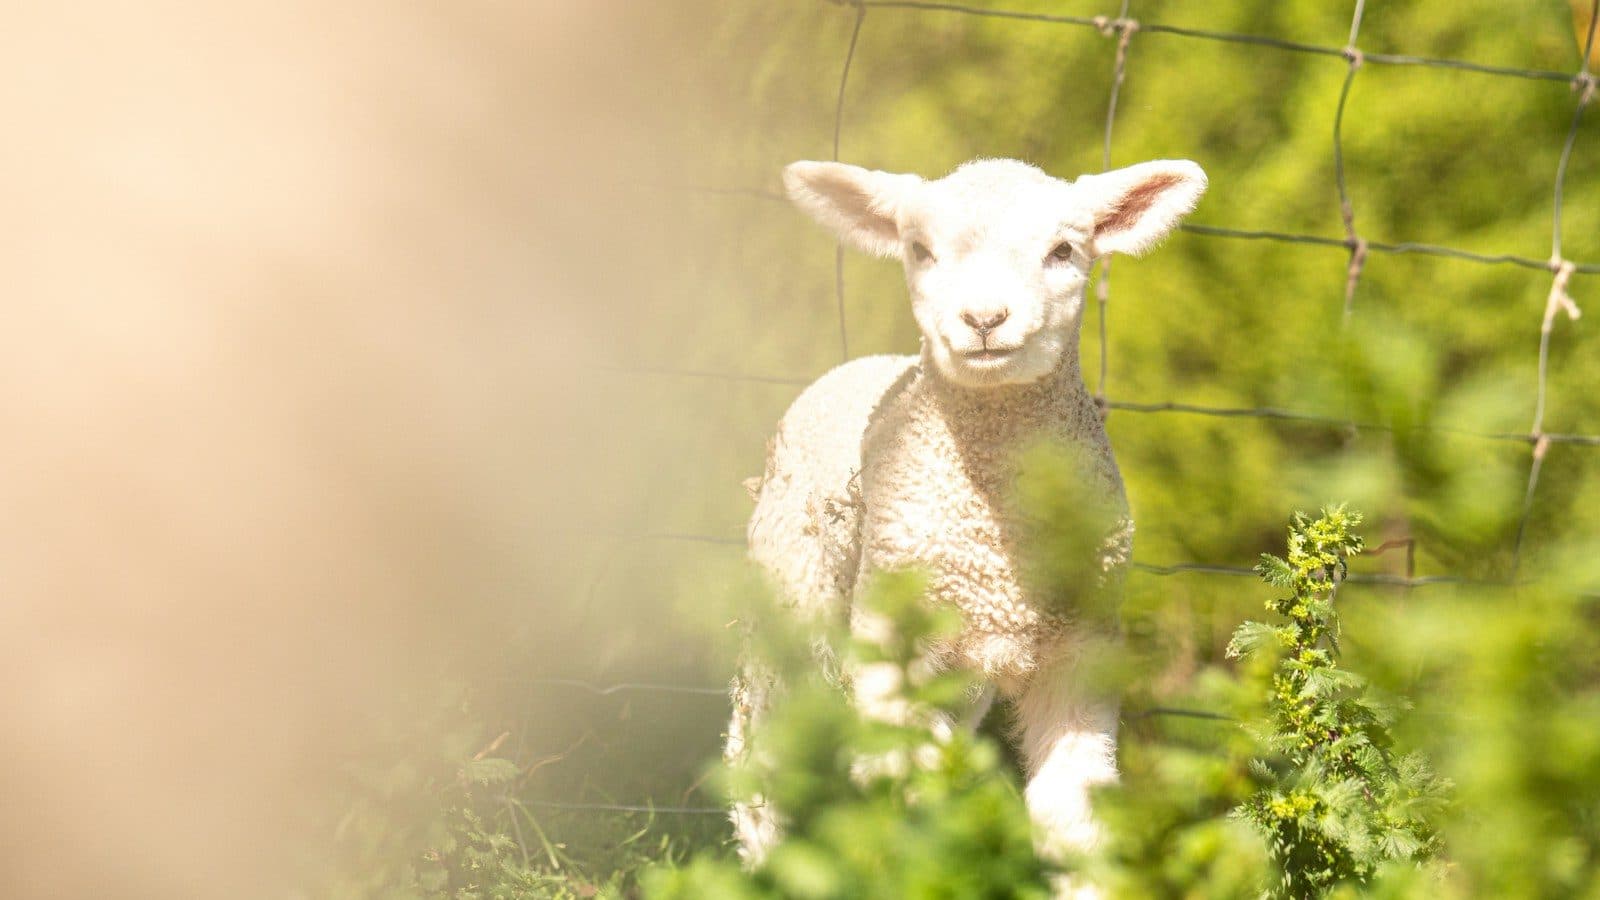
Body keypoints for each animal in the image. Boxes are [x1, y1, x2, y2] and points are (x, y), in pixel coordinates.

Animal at [729, 156, 1207, 883]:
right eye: (920, 251)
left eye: (1063, 250)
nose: (984, 318)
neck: (993, 531)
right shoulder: (890, 636)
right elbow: (913, 771)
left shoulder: (1083, 643)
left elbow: (1072, 815)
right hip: (792, 591)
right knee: (759, 747)